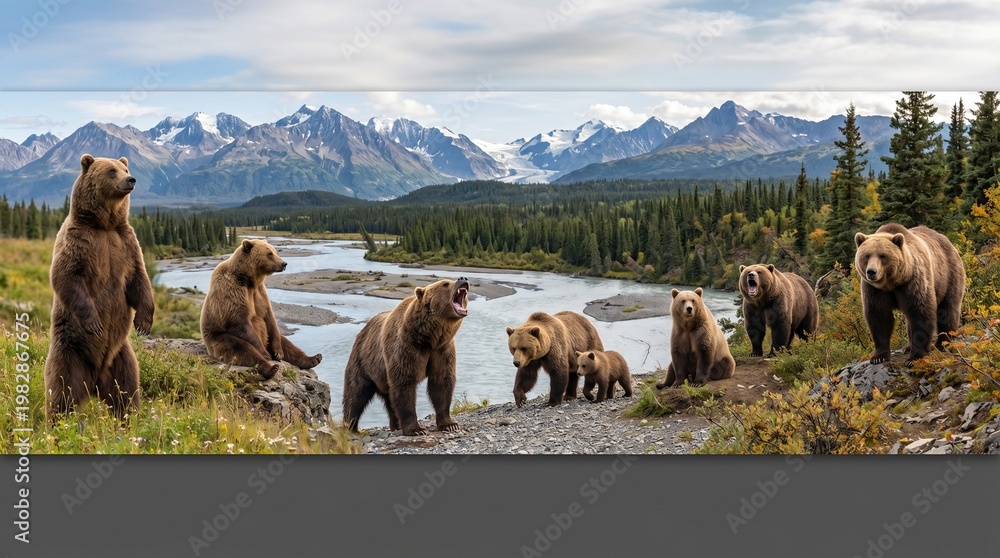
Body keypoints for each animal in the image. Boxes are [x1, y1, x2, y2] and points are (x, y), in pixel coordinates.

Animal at [44, 154, 154, 420]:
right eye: (112, 170)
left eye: (125, 167)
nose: (131, 179)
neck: (104, 226)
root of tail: (94, 380)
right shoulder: (79, 241)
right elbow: (66, 276)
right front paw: (95, 323)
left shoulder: (126, 243)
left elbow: (139, 280)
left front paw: (143, 322)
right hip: (69, 351)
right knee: (62, 391)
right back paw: (57, 424)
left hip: (120, 356)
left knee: (126, 391)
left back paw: (131, 419)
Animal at [200, 239, 322, 379]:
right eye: (269, 253)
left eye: (275, 251)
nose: (284, 263)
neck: (249, 279)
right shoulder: (232, 289)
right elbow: (239, 321)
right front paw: (265, 354)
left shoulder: (260, 292)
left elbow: (268, 316)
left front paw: (278, 353)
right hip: (218, 339)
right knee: (241, 348)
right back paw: (271, 368)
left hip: (266, 337)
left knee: (285, 342)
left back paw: (313, 358)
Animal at [342, 277, 470, 436]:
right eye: (445, 284)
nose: (463, 279)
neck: (429, 338)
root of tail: (363, 330)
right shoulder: (406, 347)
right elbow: (404, 383)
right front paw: (415, 429)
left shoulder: (442, 349)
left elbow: (441, 382)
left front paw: (450, 424)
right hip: (363, 362)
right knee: (355, 393)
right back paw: (350, 426)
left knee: (389, 399)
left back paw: (395, 425)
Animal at [854, 224, 966, 366]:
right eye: (867, 255)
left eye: (883, 256)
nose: (871, 272)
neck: (892, 283)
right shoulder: (874, 289)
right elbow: (879, 316)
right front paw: (879, 356)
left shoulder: (913, 282)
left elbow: (920, 313)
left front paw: (915, 357)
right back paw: (907, 347)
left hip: (948, 275)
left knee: (948, 309)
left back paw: (943, 343)